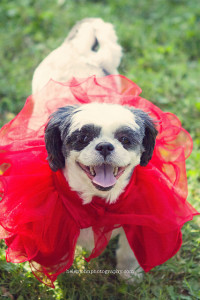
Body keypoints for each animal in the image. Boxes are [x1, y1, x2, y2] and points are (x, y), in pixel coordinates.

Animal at [32, 18, 158, 282]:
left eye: (125, 139)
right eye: (83, 138)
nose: (105, 146)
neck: (97, 202)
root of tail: (78, 49)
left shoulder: (139, 217)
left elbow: (130, 251)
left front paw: (129, 275)